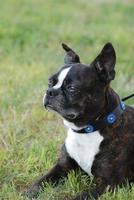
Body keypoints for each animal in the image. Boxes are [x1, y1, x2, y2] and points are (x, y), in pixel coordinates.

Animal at [25, 43, 134, 199]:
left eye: (72, 88)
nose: (50, 91)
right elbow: (42, 181)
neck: (86, 131)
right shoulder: (62, 166)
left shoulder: (109, 184)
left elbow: (81, 196)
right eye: (50, 82)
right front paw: (29, 192)